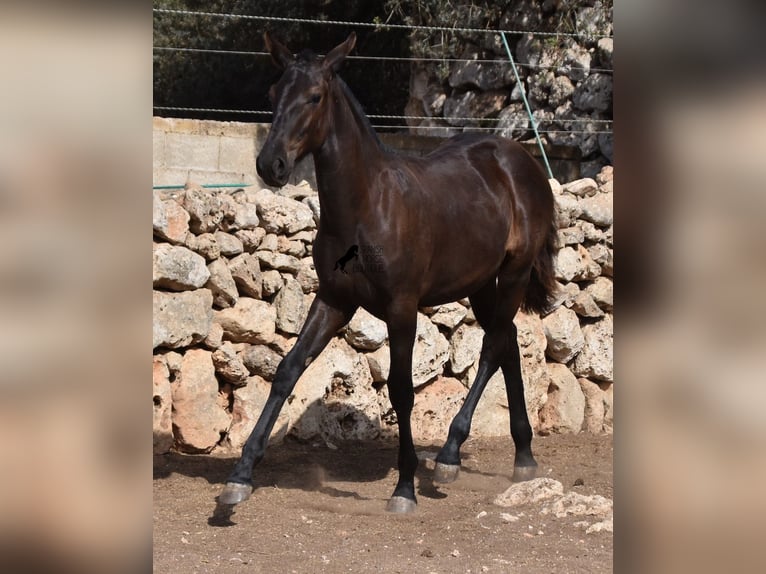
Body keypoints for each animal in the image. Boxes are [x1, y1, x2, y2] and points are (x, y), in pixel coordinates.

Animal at [220, 33, 560, 516]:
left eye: (315, 96)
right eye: (272, 94)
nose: (272, 165)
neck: (365, 209)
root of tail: (521, 159)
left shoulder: (402, 308)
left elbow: (401, 389)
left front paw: (404, 488)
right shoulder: (334, 300)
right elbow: (288, 369)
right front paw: (240, 477)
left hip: (514, 273)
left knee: (493, 347)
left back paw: (450, 456)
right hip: (479, 282)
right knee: (508, 342)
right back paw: (523, 456)